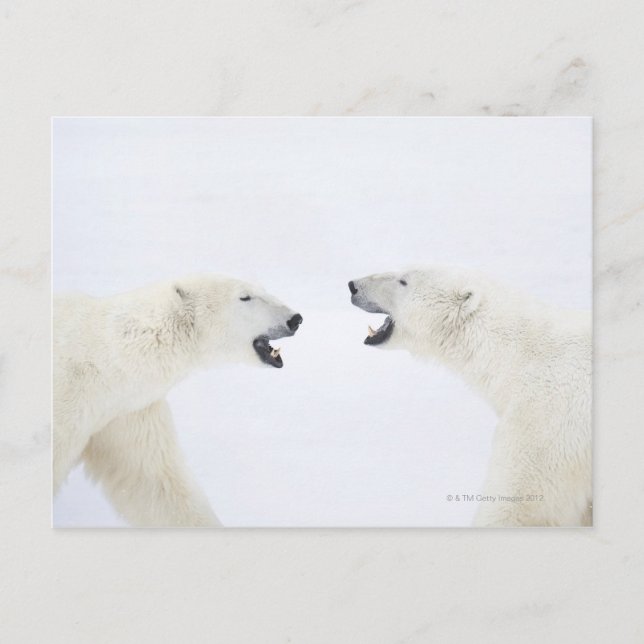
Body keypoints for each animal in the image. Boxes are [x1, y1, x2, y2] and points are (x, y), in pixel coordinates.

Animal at [53, 275, 302, 527]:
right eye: (245, 297)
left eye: (263, 289)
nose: (295, 319)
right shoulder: (67, 402)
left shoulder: (127, 412)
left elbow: (154, 482)